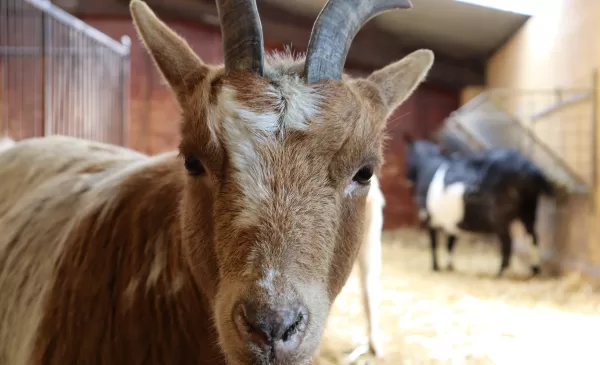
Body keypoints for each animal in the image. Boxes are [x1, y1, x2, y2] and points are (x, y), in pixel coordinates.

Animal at [406, 136, 556, 276]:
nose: (407, 178)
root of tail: (527, 167)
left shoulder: (427, 216)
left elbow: (434, 243)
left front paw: (435, 267)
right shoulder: (453, 223)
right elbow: (450, 242)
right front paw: (450, 266)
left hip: (500, 217)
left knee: (507, 242)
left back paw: (500, 272)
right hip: (529, 210)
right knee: (533, 236)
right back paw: (535, 269)